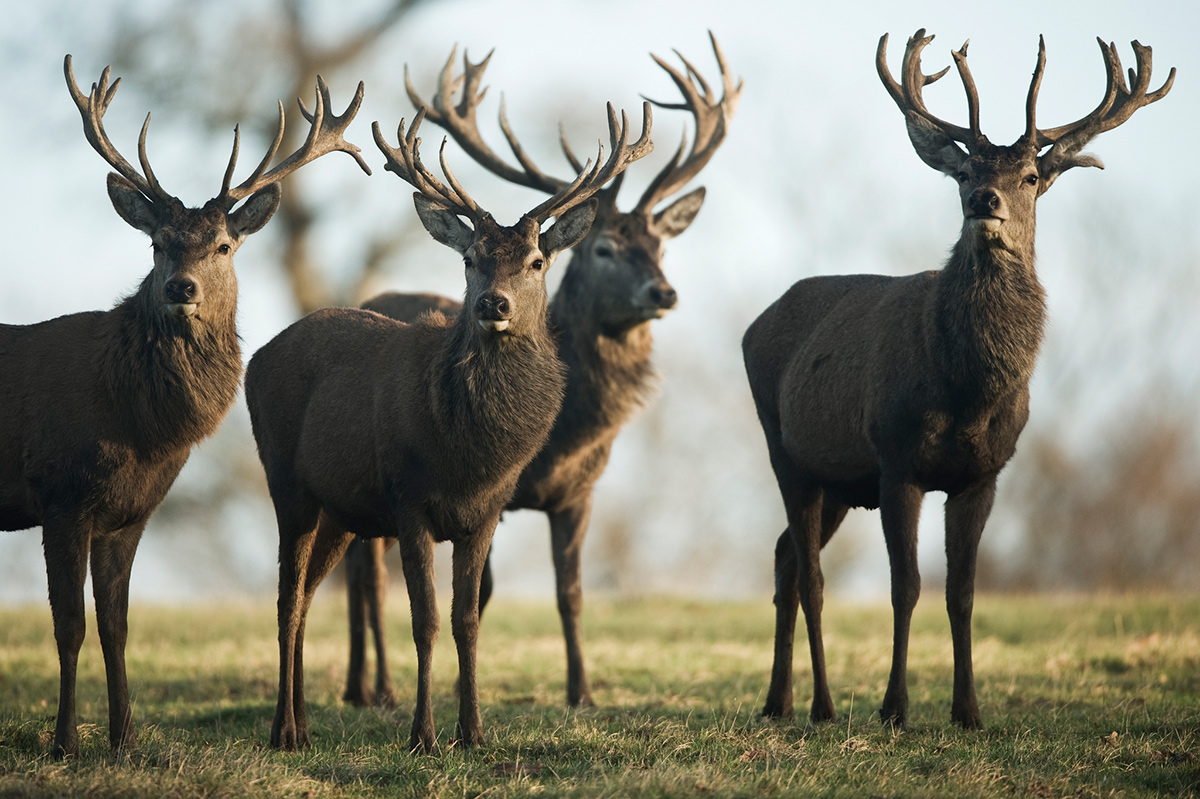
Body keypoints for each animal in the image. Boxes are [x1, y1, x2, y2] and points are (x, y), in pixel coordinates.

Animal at [0, 54, 367, 753]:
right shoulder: (60, 493)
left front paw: (124, 740)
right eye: (157, 243)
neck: (137, 426)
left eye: (223, 245)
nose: (181, 287)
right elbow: (69, 627)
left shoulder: (130, 512)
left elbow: (116, 626)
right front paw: (64, 742)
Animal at [246, 101, 657, 753]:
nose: (494, 304)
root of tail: (255, 358)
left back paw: (306, 724)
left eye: (536, 261)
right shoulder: (408, 499)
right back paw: (284, 730)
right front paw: (423, 736)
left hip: (340, 510)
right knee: (288, 597)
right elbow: (426, 619)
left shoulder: (486, 510)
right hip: (287, 482)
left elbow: (468, 619)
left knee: (308, 596)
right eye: (470, 259)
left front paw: (474, 732)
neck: (470, 454)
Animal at [333, 35, 734, 710]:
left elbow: (570, 594)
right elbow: (481, 594)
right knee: (366, 574)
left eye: (661, 246)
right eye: (603, 249)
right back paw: (374, 687)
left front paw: (582, 693)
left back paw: (364, 685)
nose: (664, 292)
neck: (566, 437)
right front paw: (462, 692)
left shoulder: (581, 491)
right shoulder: (484, 493)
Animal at [739, 31, 1171, 729]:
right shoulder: (896, 462)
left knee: (783, 560)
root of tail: (754, 326)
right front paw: (894, 708)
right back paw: (822, 706)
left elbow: (963, 593)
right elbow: (905, 587)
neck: (968, 391)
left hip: (838, 480)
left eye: (1030, 176)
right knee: (811, 576)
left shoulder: (983, 473)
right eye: (966, 172)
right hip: (787, 451)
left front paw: (968, 710)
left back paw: (777, 702)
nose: (983, 202)